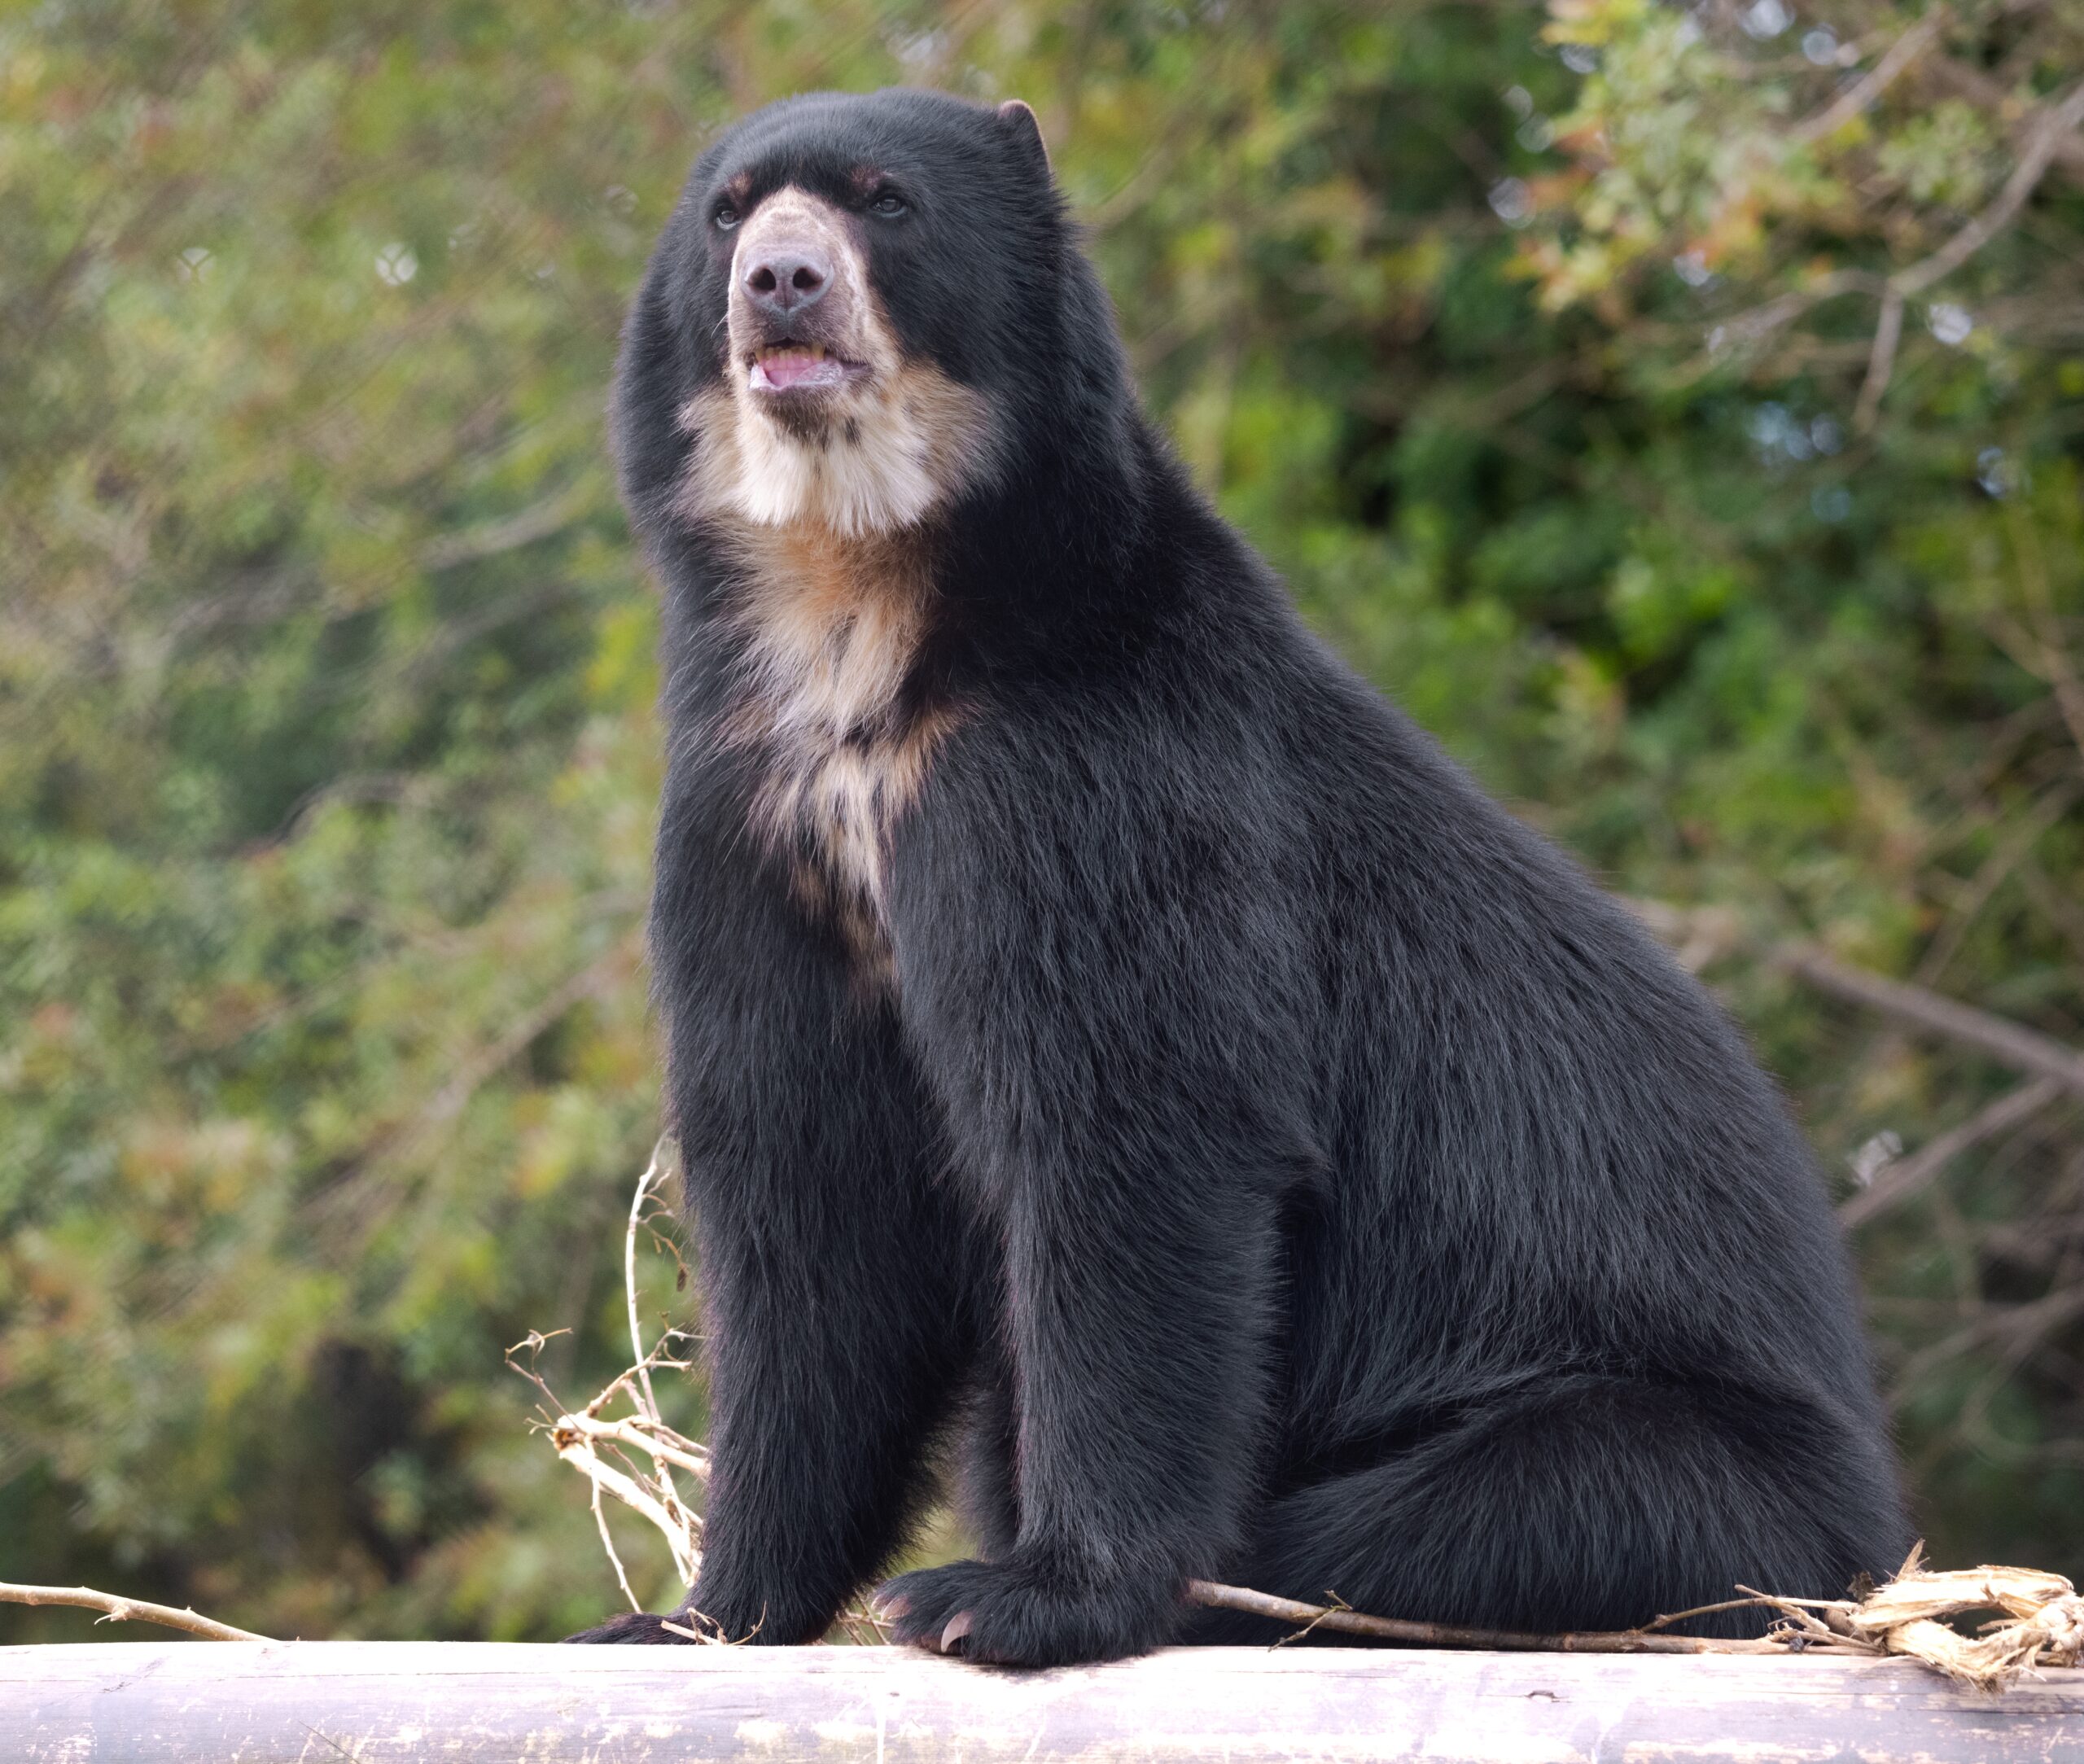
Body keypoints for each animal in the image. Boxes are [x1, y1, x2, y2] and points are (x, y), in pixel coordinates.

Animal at [567, 87, 1909, 1666]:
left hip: (1674, 1464)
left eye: (884, 199)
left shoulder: (1098, 784)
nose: (780, 280)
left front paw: (1012, 1595)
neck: (864, 616)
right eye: (728, 211)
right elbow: (805, 1195)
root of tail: (1871, 1538)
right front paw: (692, 1616)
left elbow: (1140, 1128)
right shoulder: (750, 828)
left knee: (1453, 1517)